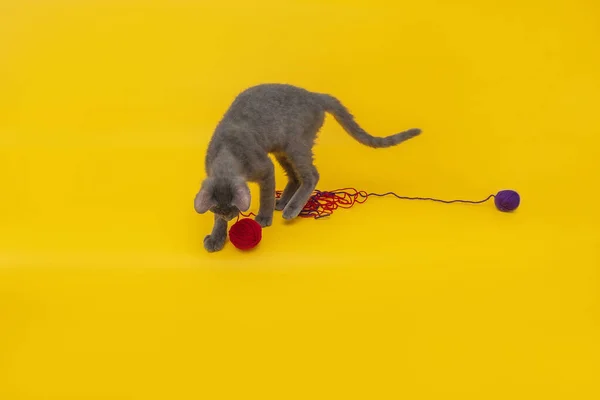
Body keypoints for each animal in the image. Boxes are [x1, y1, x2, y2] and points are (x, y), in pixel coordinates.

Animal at [195, 83, 420, 253]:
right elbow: (218, 221)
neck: (227, 152)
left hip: (296, 145)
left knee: (311, 175)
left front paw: (264, 218)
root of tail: (314, 95)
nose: (229, 216)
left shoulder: (265, 168)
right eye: (219, 209)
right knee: (296, 177)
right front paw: (217, 237)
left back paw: (291, 209)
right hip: (283, 150)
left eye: (233, 208)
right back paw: (283, 202)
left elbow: (266, 196)